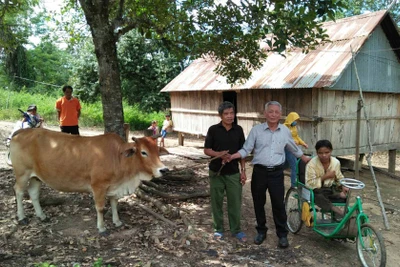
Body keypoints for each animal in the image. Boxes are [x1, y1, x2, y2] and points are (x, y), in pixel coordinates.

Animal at [9, 127, 169, 234]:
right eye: (143, 152)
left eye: (157, 151)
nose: (164, 170)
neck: (118, 157)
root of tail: (21, 132)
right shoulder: (98, 186)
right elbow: (100, 208)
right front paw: (102, 228)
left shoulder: (113, 187)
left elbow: (114, 204)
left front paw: (117, 221)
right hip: (22, 173)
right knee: (19, 191)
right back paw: (22, 217)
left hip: (36, 177)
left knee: (33, 193)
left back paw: (42, 216)